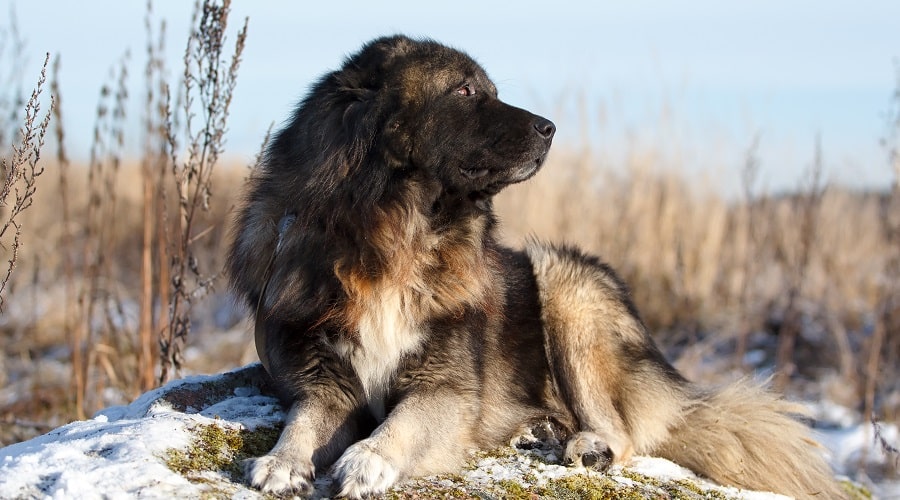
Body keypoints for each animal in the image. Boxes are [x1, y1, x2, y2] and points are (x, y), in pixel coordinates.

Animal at [229, 33, 848, 498]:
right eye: (464, 90)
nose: (549, 127)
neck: (396, 234)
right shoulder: (323, 377)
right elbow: (306, 418)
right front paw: (283, 461)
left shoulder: (447, 390)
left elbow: (402, 423)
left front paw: (367, 459)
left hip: (563, 291)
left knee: (625, 431)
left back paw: (586, 445)